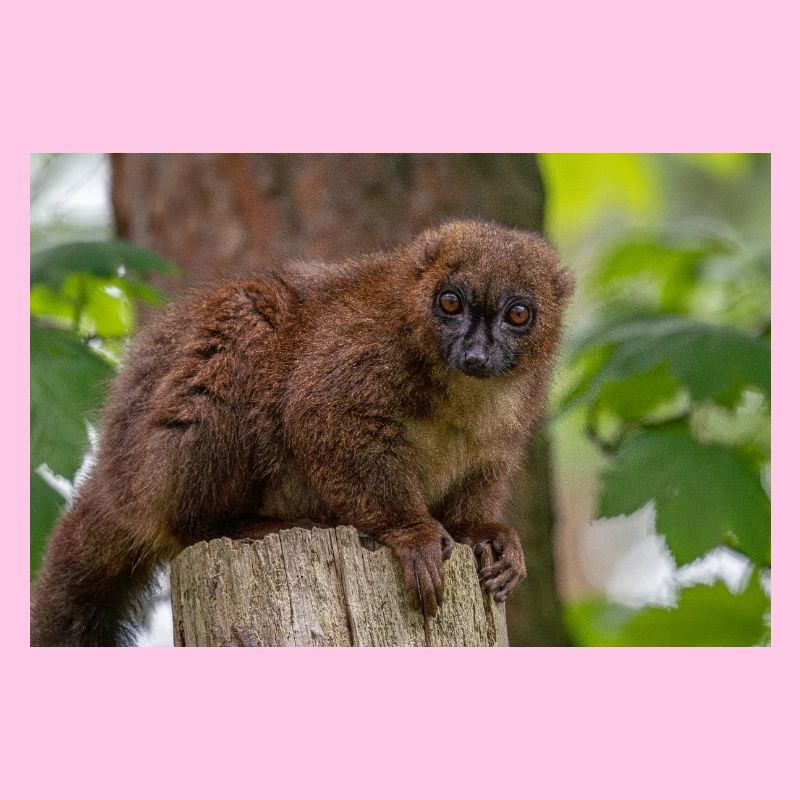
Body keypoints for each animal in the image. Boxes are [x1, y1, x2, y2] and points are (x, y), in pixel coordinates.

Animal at [30, 219, 574, 646]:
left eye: (518, 314)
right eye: (450, 303)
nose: (477, 353)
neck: (461, 389)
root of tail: (116, 473)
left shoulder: (515, 415)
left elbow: (487, 465)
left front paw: (479, 532)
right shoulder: (365, 347)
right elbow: (317, 414)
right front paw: (413, 532)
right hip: (158, 462)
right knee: (247, 311)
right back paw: (241, 525)